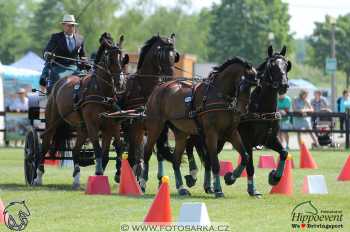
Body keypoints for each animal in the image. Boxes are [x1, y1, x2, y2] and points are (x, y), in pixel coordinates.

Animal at [32, 32, 129, 186]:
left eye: (123, 58)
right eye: (110, 58)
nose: (120, 83)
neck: (101, 92)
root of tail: (58, 84)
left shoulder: (111, 125)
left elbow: (114, 149)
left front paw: (116, 174)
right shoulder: (93, 125)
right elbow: (98, 149)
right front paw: (99, 172)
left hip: (82, 128)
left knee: (75, 150)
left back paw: (76, 177)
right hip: (52, 123)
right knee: (44, 146)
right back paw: (38, 176)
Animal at [115, 34, 180, 183]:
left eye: (174, 55)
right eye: (160, 54)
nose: (170, 76)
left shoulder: (156, 127)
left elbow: (154, 153)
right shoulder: (135, 127)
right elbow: (135, 155)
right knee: (124, 150)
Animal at [139, 57, 258, 197]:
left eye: (254, 86)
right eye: (243, 85)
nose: (243, 110)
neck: (219, 95)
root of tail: (158, 88)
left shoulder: (231, 132)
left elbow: (245, 156)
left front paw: (230, 177)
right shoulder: (211, 133)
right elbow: (215, 162)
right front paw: (218, 190)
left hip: (181, 133)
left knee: (176, 159)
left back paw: (181, 188)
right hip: (155, 128)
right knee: (147, 153)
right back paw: (142, 184)